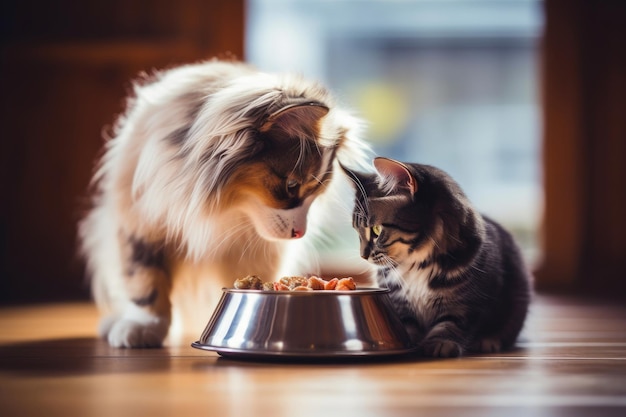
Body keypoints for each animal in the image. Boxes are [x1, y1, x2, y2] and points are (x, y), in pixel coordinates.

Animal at [79, 57, 370, 344]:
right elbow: (144, 281)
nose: (300, 234)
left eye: (316, 193)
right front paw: (145, 327)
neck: (224, 207)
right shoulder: (140, 224)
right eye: (291, 186)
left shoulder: (255, 251)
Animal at [344, 156, 528, 358]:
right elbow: (405, 325)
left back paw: (488, 342)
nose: (363, 255)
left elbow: (451, 323)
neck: (416, 264)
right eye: (357, 232)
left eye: (376, 230)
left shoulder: (468, 303)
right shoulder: (399, 302)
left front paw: (440, 343)